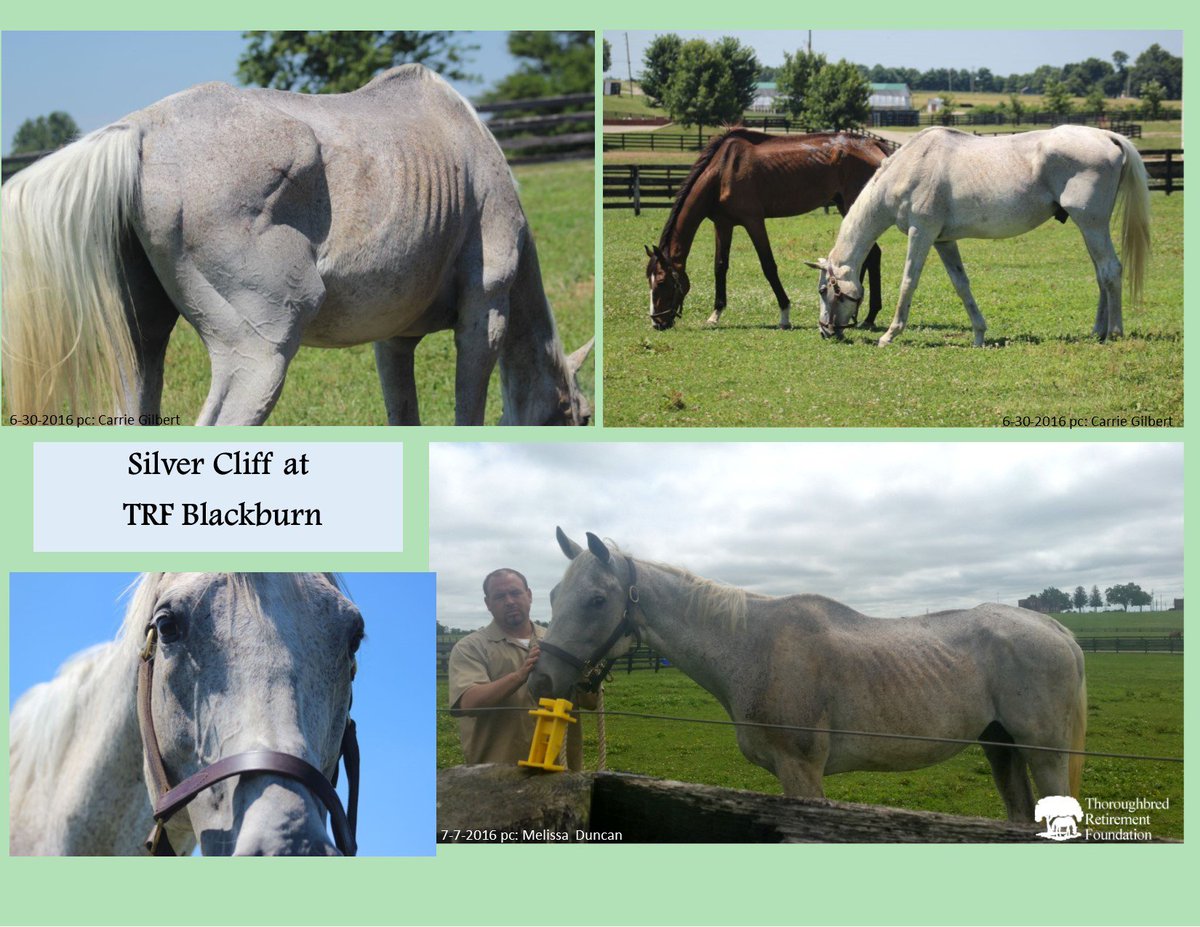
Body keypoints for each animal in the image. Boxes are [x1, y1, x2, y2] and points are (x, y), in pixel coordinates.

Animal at [1, 64, 592, 425]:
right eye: (582, 416)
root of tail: (141, 131)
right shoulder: (484, 317)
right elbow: (466, 412)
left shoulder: (394, 340)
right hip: (260, 355)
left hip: (141, 346)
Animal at [531, 530, 1088, 824]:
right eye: (554, 596)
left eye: (596, 600)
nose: (541, 682)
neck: (752, 647)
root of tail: (1054, 627)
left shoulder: (802, 773)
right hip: (1001, 747)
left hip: (1044, 753)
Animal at [644, 129, 890, 331]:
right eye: (649, 279)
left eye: (662, 282)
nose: (657, 322)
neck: (723, 171)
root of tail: (874, 144)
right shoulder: (723, 224)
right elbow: (720, 266)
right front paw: (715, 314)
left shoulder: (754, 222)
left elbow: (768, 266)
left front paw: (785, 315)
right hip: (845, 205)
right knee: (871, 254)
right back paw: (864, 315)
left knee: (872, 254)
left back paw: (867, 316)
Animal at [806, 125, 1150, 346]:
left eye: (824, 290)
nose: (825, 331)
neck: (909, 167)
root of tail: (1107, 135)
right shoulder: (943, 241)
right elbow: (962, 284)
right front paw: (979, 334)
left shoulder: (921, 234)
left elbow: (908, 282)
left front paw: (890, 334)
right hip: (1089, 228)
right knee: (1100, 274)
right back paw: (1098, 331)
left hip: (1092, 224)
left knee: (1110, 270)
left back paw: (1115, 333)